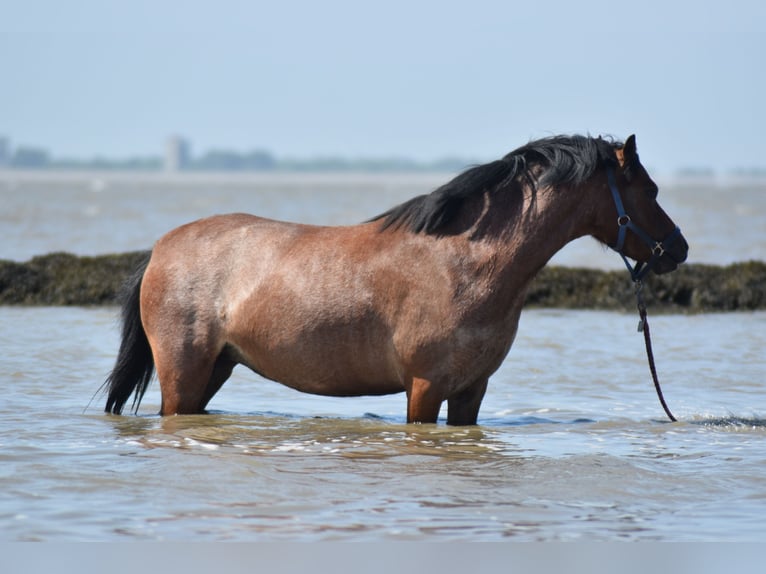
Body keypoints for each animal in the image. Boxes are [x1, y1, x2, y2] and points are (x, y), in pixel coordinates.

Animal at [103, 134, 688, 425]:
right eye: (650, 189)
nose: (678, 248)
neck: (465, 264)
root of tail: (162, 248)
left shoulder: (471, 390)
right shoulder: (424, 387)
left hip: (216, 369)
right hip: (183, 373)